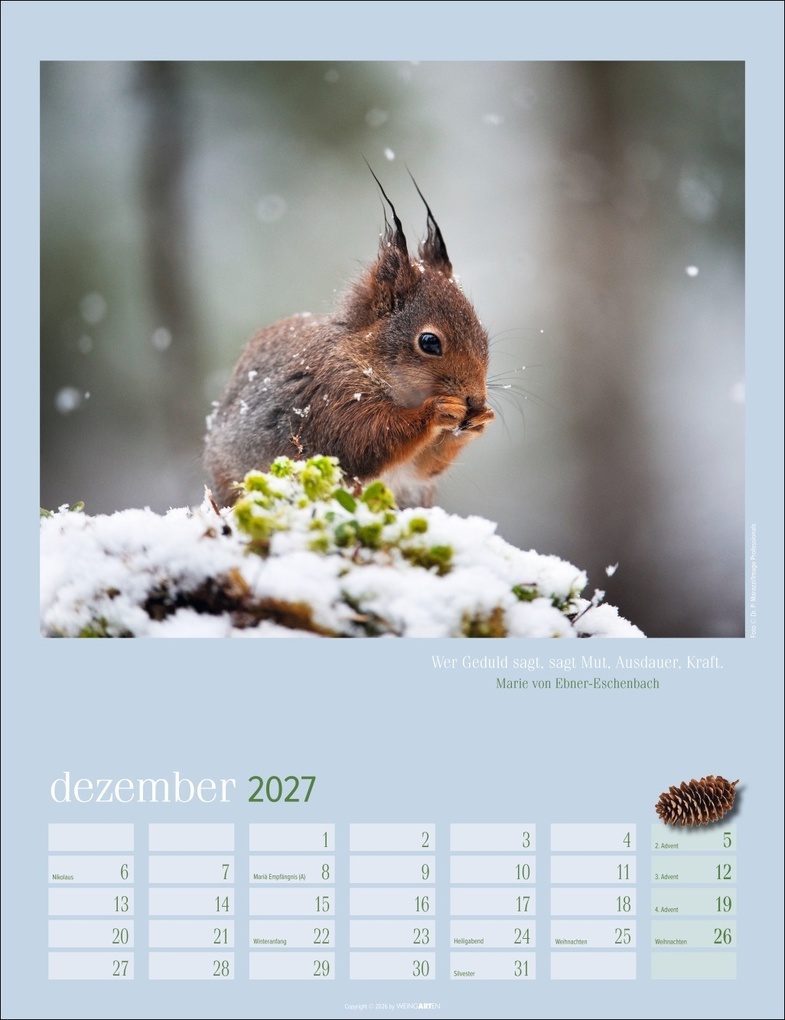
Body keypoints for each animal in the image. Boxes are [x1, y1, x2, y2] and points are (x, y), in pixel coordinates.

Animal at [204, 173, 494, 508]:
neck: (362, 355)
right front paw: (437, 410)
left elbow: (424, 467)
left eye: (483, 337)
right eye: (429, 342)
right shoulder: (330, 398)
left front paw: (481, 419)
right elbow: (365, 440)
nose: (476, 398)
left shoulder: (411, 472)